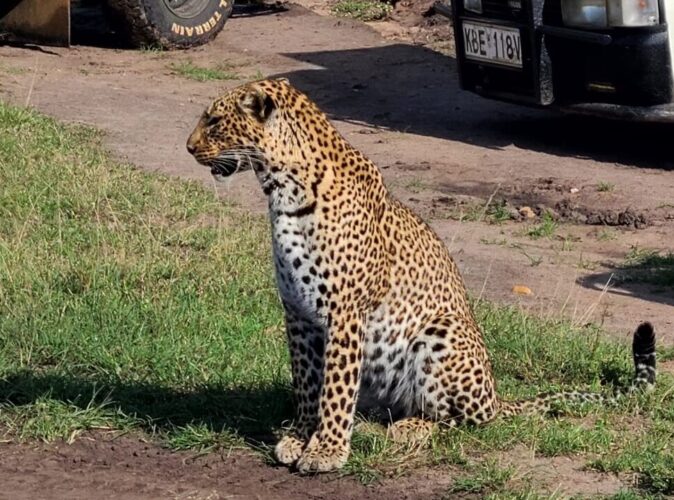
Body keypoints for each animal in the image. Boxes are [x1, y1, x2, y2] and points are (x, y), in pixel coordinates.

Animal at [186, 78, 657, 474]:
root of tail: (499, 398)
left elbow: (334, 387)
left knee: (458, 421)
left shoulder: (344, 314)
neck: (281, 188)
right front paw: (301, 437)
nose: (188, 148)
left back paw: (410, 428)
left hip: (441, 333)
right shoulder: (298, 313)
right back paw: (371, 424)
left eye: (214, 120)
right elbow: (306, 381)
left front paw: (327, 450)